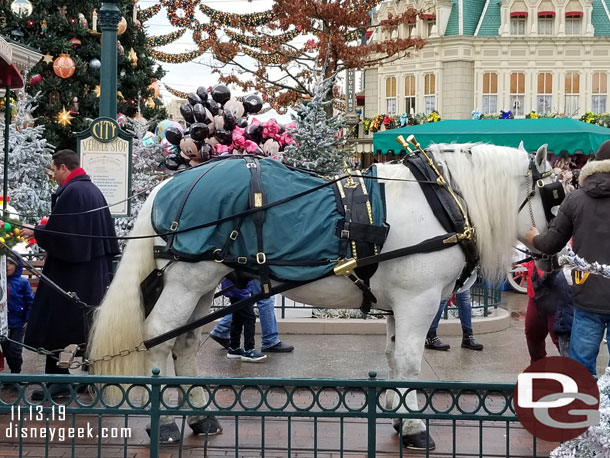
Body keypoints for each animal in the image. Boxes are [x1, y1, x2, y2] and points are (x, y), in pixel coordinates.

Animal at [86, 143, 552, 450]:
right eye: (555, 193)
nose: (554, 251)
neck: (441, 201)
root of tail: (171, 184)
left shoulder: (400, 305)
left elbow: (393, 357)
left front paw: (398, 416)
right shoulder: (418, 300)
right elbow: (408, 361)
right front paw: (415, 428)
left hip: (202, 283)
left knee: (183, 343)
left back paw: (202, 417)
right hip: (186, 280)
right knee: (158, 337)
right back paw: (163, 423)